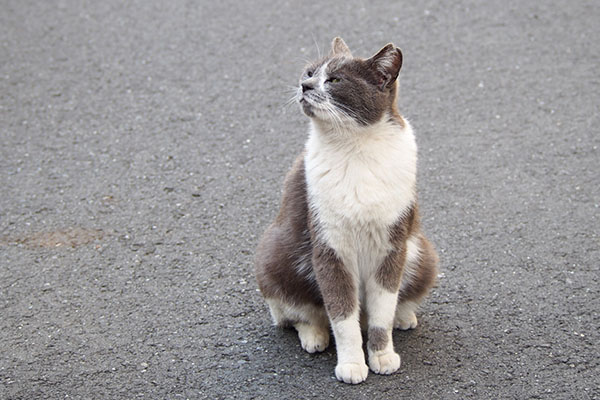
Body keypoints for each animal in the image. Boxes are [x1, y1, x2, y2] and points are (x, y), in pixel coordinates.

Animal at [255, 37, 438, 384]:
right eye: (309, 72)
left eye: (335, 80)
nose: (304, 85)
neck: (355, 149)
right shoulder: (330, 248)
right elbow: (342, 317)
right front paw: (352, 365)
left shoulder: (392, 246)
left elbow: (382, 313)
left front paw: (382, 356)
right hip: (275, 255)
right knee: (293, 313)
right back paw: (314, 336)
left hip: (421, 252)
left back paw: (404, 317)